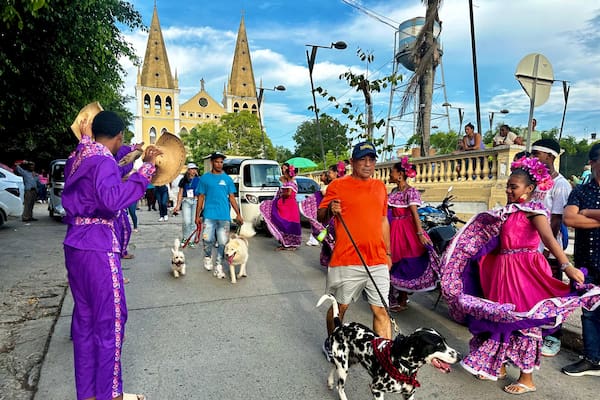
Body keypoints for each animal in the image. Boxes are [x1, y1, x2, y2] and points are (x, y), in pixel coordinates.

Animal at [318, 294, 460, 400]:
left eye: (445, 341)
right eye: (439, 345)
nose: (460, 356)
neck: (401, 364)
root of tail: (340, 325)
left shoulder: (409, 395)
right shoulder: (376, 389)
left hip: (349, 362)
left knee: (333, 366)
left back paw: (330, 382)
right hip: (344, 366)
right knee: (340, 387)